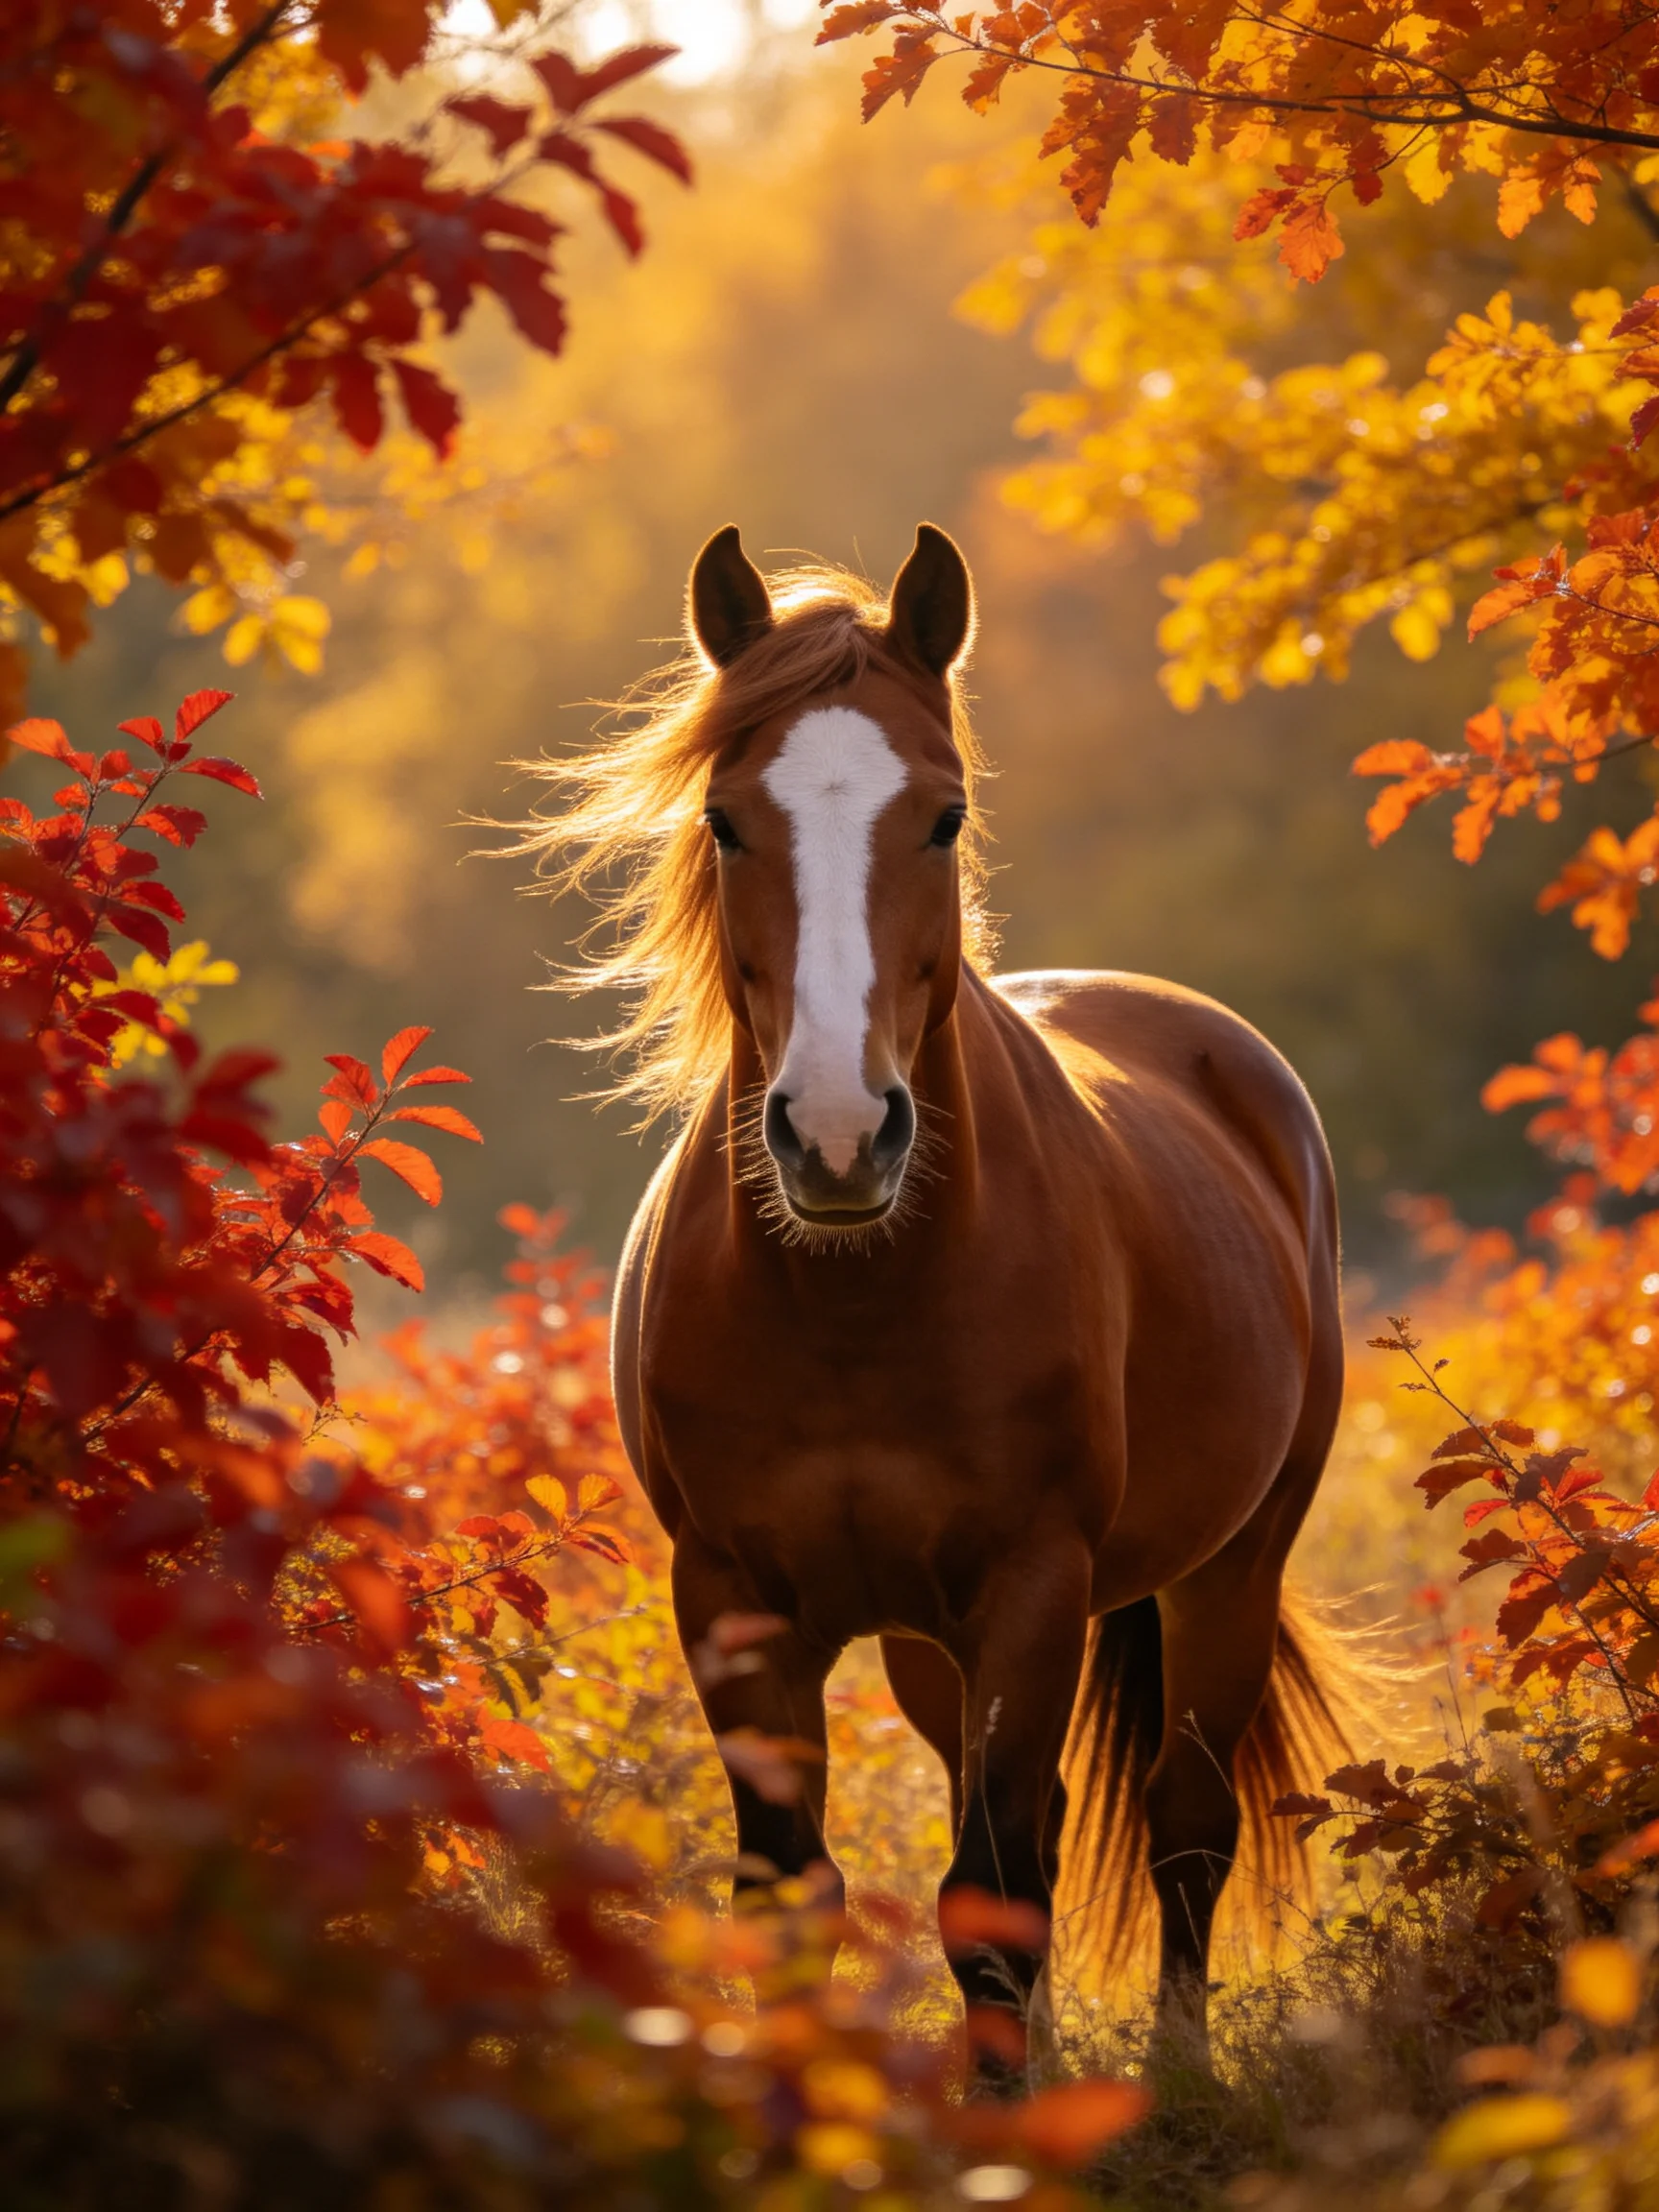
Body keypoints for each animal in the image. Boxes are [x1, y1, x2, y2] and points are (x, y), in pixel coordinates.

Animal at [528, 522, 1354, 2071]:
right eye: (726, 820)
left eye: (945, 818)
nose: (840, 1135)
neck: (858, 1306)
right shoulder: (736, 1604)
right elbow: (795, 1896)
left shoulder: (1032, 1590)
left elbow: (993, 1901)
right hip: (927, 1647)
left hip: (1230, 1567)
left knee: (1184, 1825)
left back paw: (1182, 2075)